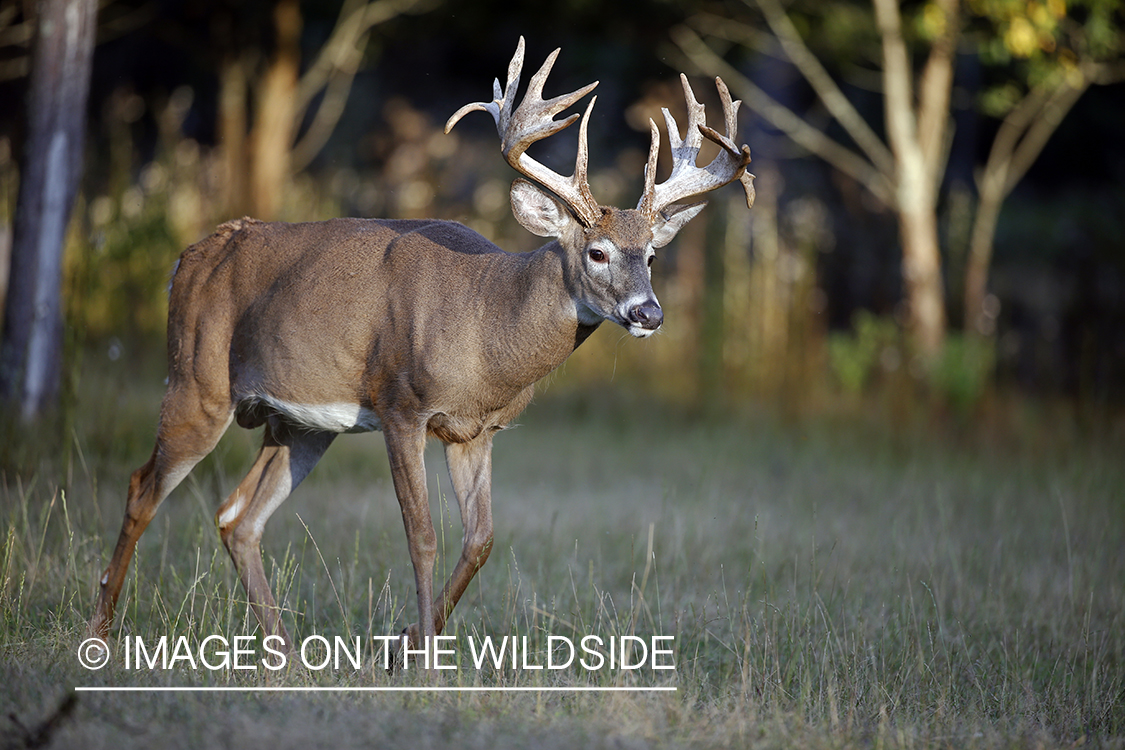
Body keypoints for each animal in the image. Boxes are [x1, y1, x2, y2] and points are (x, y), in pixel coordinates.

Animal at [85, 38, 756, 665]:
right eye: (597, 252)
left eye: (653, 255)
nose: (649, 313)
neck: (486, 325)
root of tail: (185, 260)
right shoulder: (401, 405)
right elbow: (422, 535)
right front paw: (424, 657)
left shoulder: (476, 431)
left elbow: (481, 540)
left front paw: (405, 642)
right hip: (197, 380)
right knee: (142, 486)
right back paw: (100, 632)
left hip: (297, 426)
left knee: (237, 516)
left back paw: (284, 654)